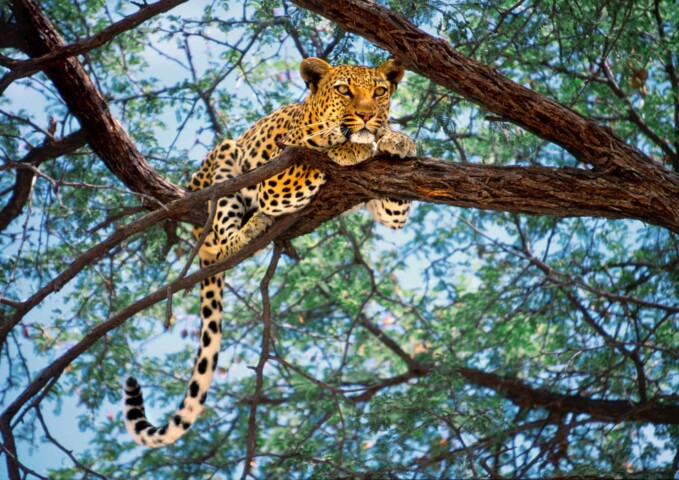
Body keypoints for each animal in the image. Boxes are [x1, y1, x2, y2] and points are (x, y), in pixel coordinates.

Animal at [122, 58, 416, 447]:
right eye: (343, 90)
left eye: (380, 91)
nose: (368, 116)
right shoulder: (279, 177)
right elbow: (314, 153)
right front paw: (351, 146)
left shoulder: (389, 208)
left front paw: (398, 139)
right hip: (225, 160)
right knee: (224, 235)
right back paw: (253, 226)